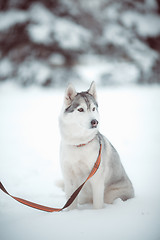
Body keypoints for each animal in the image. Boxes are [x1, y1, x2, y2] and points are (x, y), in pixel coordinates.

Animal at [58, 81, 134, 209]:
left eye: (93, 108)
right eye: (80, 109)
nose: (95, 122)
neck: (79, 143)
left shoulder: (97, 179)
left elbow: (98, 204)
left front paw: (97, 213)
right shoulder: (69, 178)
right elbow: (70, 203)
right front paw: (70, 212)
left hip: (111, 195)